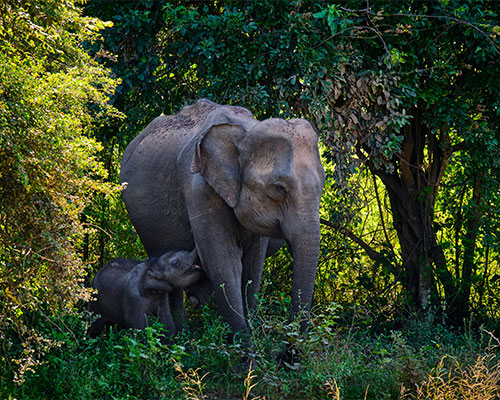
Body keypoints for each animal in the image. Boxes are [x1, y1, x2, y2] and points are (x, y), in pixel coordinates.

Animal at [119, 100, 326, 340]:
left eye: (323, 183)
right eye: (279, 188)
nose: (291, 344)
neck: (246, 131)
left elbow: (252, 265)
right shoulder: (199, 190)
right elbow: (224, 261)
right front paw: (244, 344)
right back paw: (179, 337)